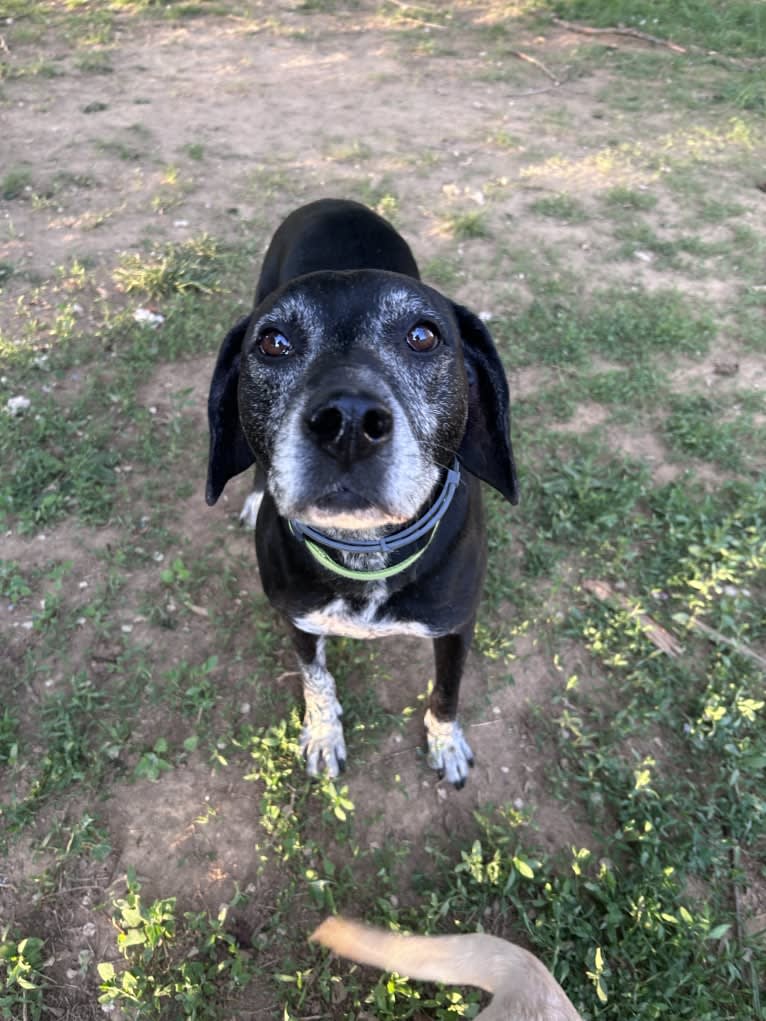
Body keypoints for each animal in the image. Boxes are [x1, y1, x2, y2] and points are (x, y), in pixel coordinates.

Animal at [205, 199, 516, 788]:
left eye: (423, 336)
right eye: (273, 343)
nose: (347, 423)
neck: (366, 549)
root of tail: (331, 201)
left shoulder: (457, 626)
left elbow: (447, 691)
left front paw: (446, 743)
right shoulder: (299, 620)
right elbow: (316, 682)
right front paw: (324, 736)